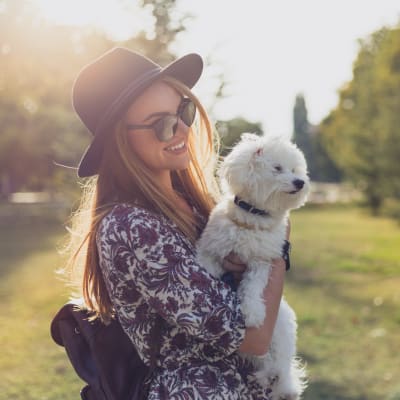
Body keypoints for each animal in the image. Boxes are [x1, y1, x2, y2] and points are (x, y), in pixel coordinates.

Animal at [197, 133, 310, 398]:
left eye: (295, 169)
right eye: (277, 168)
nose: (300, 182)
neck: (253, 217)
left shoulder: (261, 261)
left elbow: (252, 287)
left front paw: (252, 312)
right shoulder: (211, 248)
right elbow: (206, 265)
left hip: (280, 329)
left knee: (280, 363)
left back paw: (277, 379)